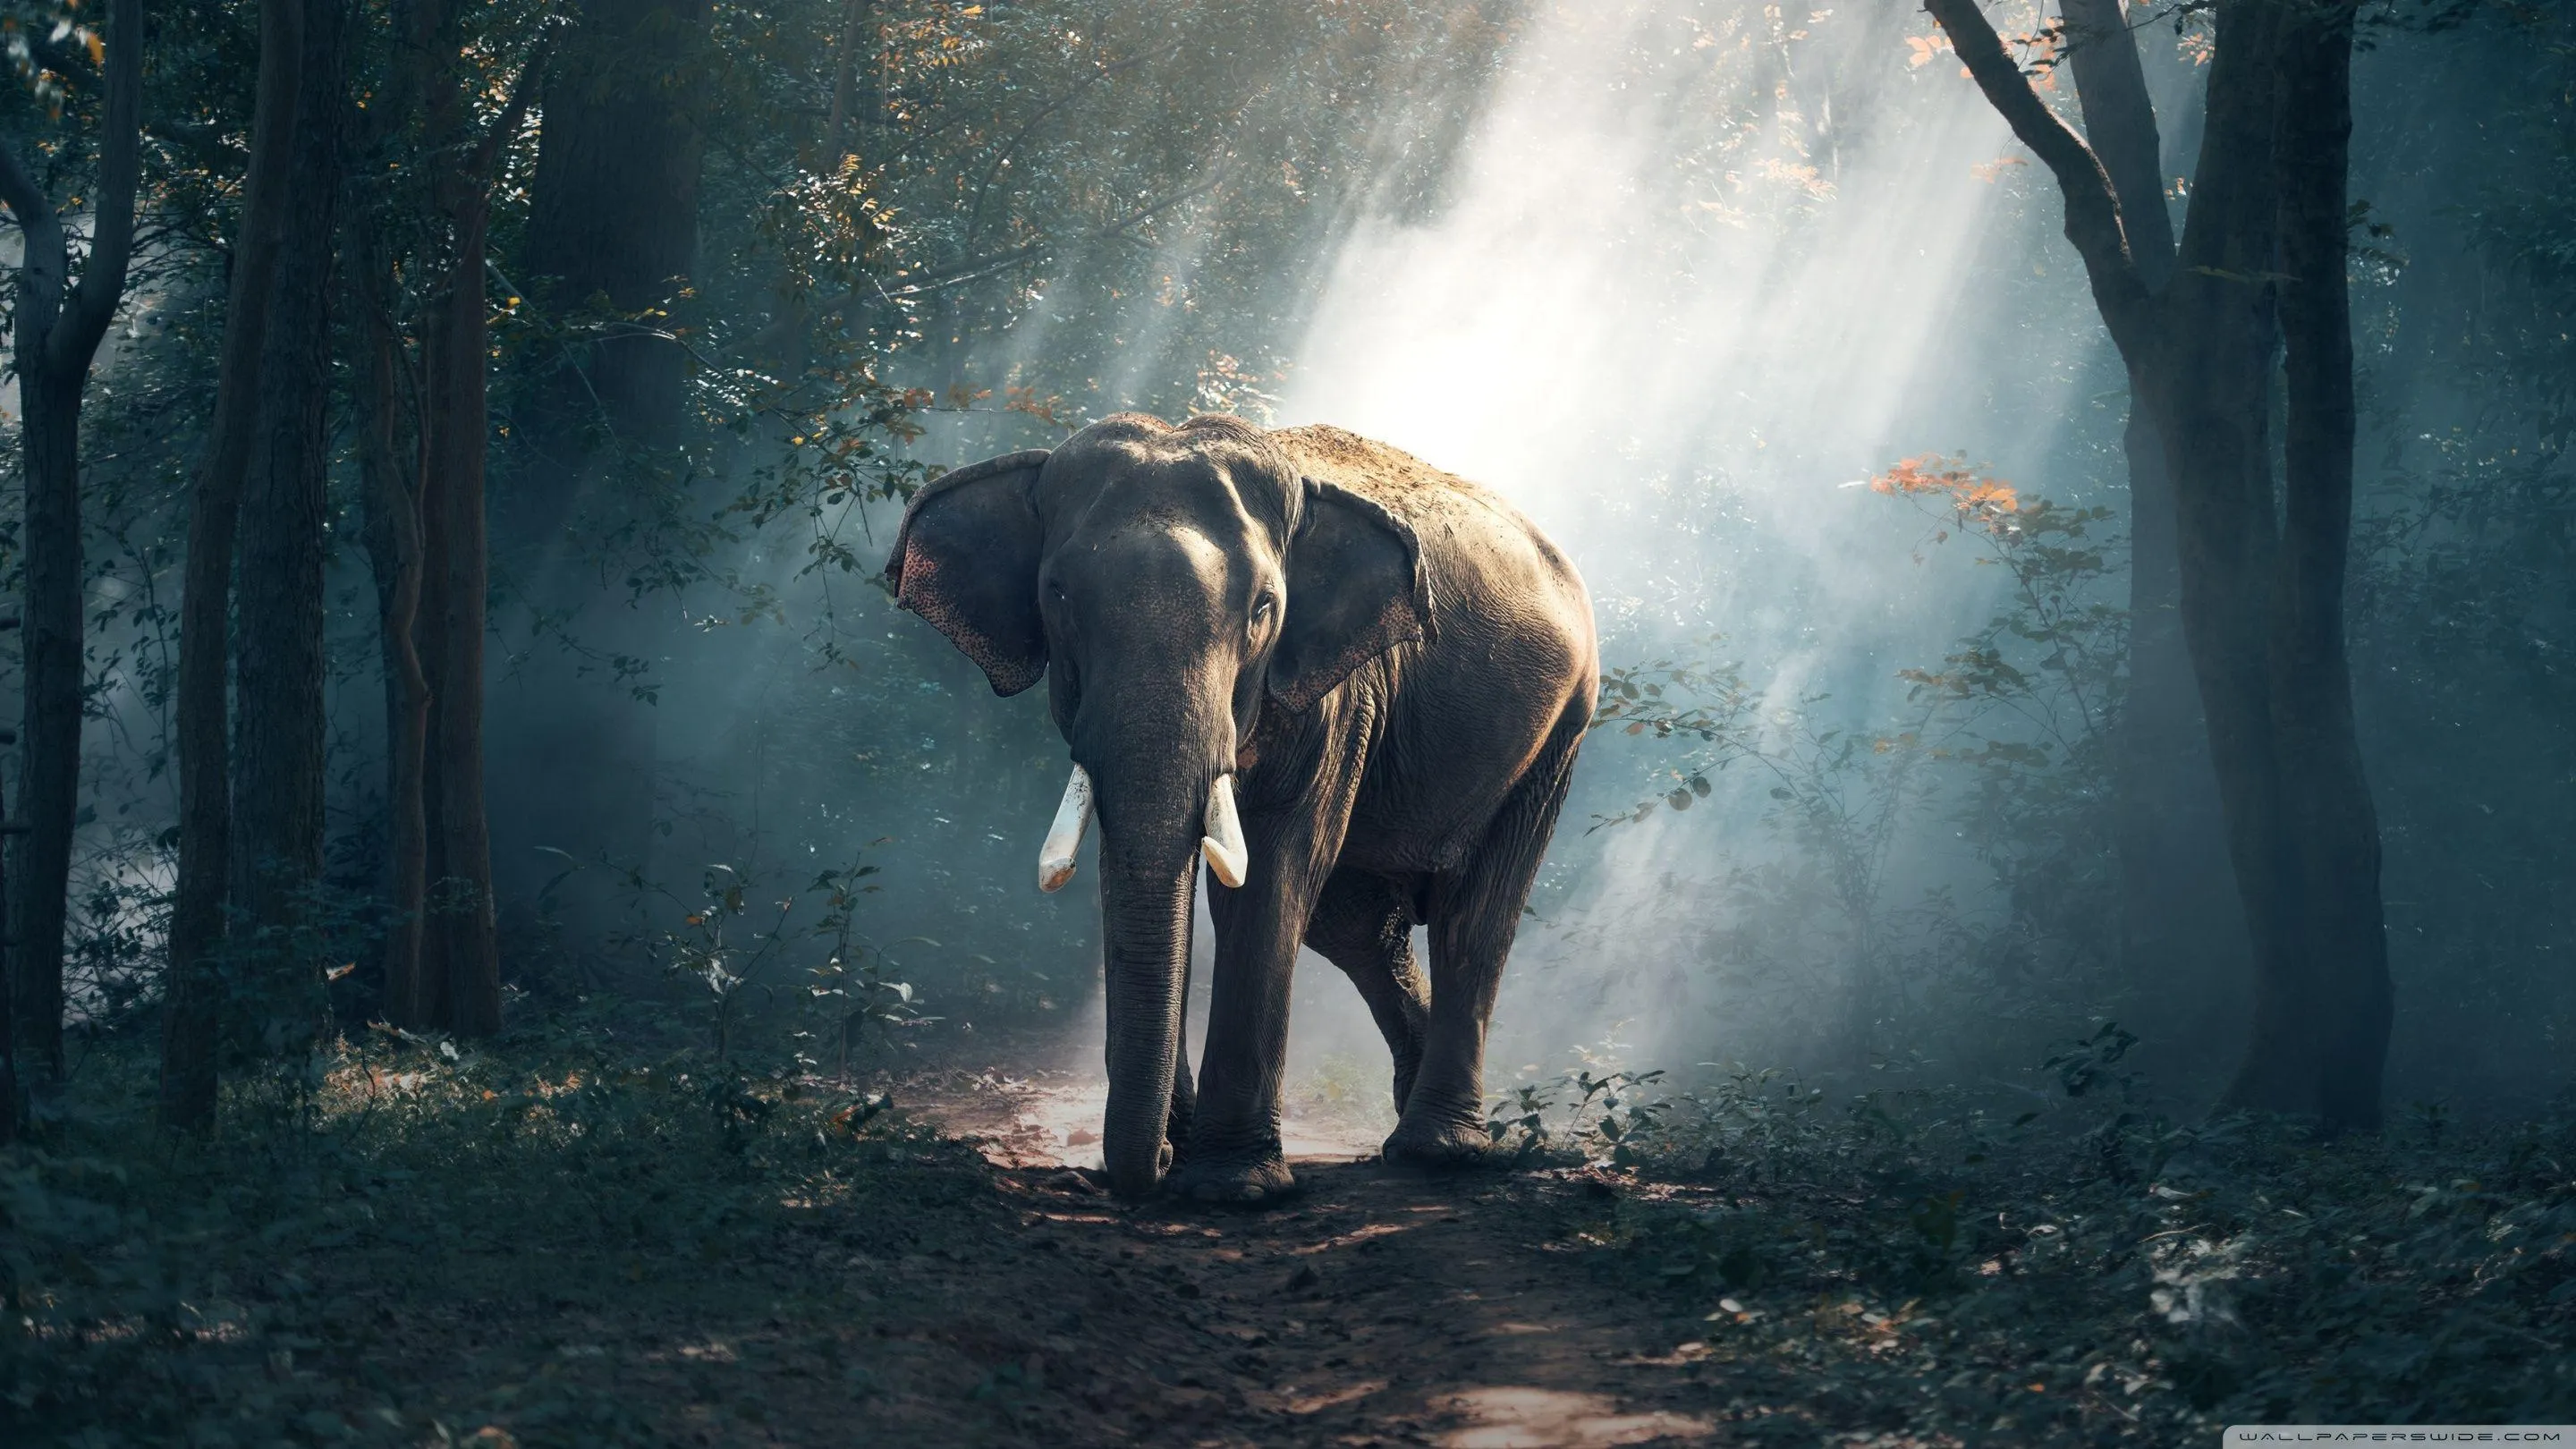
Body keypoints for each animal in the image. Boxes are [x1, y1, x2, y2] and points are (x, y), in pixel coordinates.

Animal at [885, 413, 1597, 1202]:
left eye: (1263, 609)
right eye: (1058, 596)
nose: (1156, 1163)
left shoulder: (1337, 694)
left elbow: (1272, 875)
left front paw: (1232, 1188)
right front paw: (1187, 1151)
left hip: (1559, 733)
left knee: (1475, 916)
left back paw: (1436, 1151)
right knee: (1357, 925)